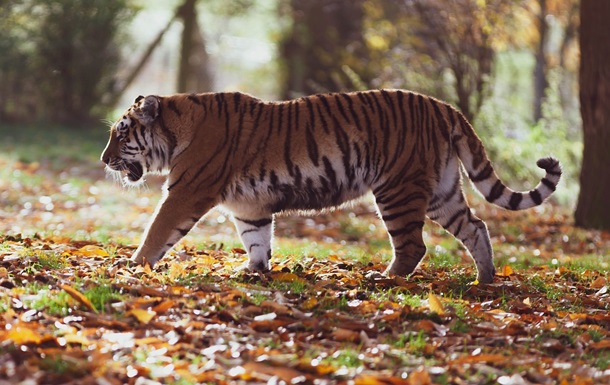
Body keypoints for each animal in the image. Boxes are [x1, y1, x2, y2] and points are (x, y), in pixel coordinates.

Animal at [101, 89, 560, 282]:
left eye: (120, 135)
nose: (104, 160)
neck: (178, 126)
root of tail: (444, 106)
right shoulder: (249, 207)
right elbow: (257, 239)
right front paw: (253, 270)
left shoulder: (186, 192)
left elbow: (157, 230)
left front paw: (133, 265)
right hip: (441, 192)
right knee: (476, 227)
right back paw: (485, 280)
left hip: (397, 189)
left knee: (413, 245)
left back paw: (385, 279)